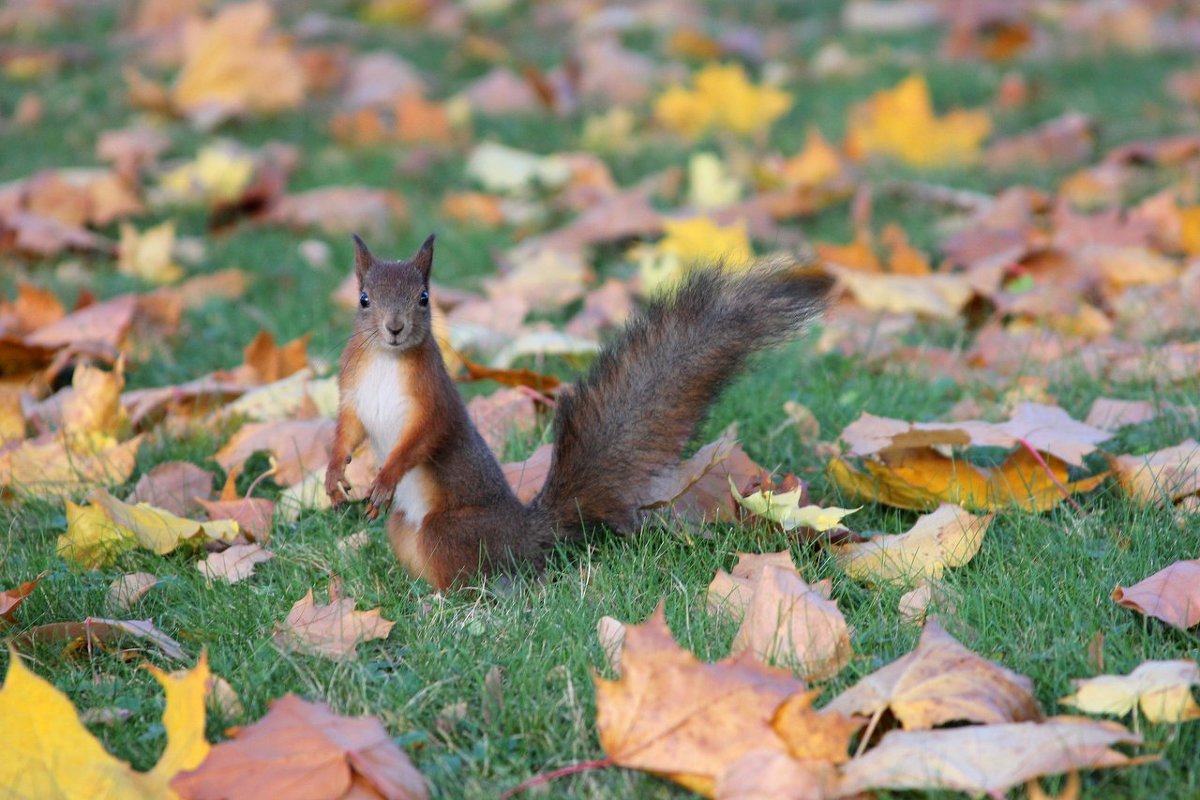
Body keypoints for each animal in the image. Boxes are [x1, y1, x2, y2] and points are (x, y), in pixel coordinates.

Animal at [328, 231, 835, 587]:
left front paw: (385, 477)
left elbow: (425, 437)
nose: (395, 328)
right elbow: (348, 431)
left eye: (424, 298)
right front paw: (335, 476)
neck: (387, 361)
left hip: (450, 531)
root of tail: (524, 532)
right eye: (364, 299)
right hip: (403, 531)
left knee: (471, 582)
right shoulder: (352, 392)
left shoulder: (434, 401)